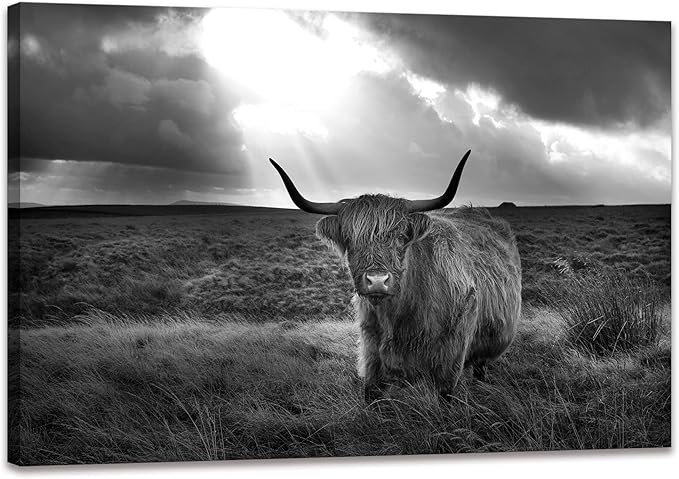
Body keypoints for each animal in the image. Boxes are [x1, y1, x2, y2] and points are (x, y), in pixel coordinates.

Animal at [269, 150, 521, 401]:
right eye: (350, 238)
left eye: (401, 237)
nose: (377, 281)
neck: (399, 317)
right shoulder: (372, 354)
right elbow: (371, 393)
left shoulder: (450, 362)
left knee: (480, 369)